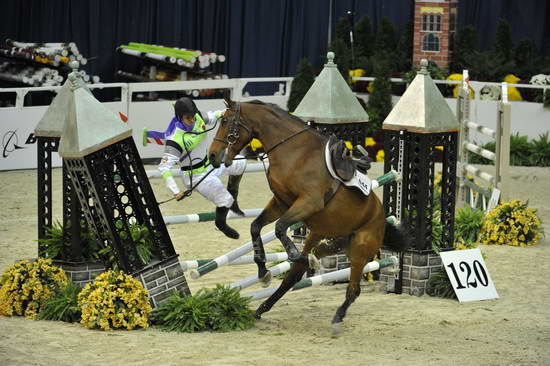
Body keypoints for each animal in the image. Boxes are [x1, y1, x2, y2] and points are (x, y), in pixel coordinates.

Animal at [209, 97, 412, 334]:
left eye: (226, 121)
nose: (212, 155)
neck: (293, 151)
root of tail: (381, 218)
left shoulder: (308, 201)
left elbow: (279, 228)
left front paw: (293, 255)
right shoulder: (281, 202)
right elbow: (256, 227)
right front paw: (262, 271)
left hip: (360, 250)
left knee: (353, 289)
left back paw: (336, 318)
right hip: (324, 235)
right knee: (295, 275)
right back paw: (263, 307)